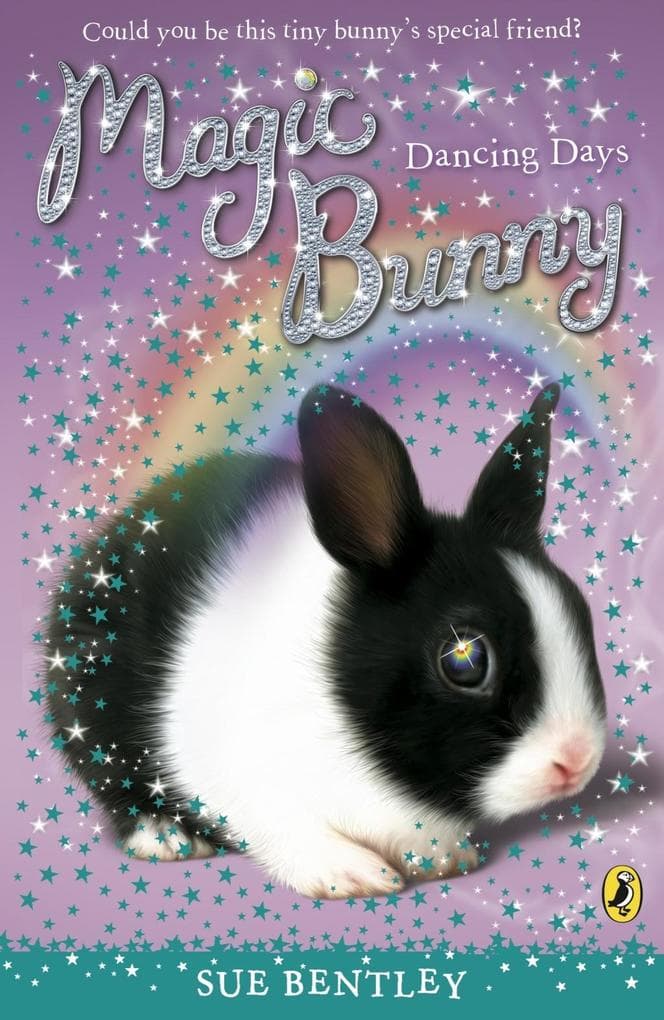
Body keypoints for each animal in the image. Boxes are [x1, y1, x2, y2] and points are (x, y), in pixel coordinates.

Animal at [45, 381, 606, 898]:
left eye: (580, 612)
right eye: (464, 660)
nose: (576, 760)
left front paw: (443, 857)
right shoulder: (233, 770)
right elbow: (283, 828)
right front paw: (351, 875)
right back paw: (165, 837)